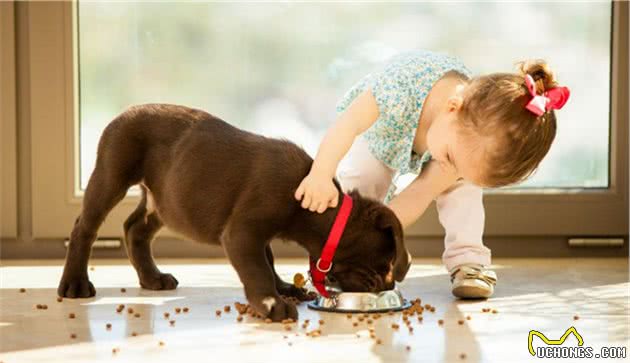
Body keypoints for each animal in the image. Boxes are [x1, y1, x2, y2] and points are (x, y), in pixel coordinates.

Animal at [58, 103, 414, 322]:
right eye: (385, 263)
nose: (386, 286)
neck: (318, 208)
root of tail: (124, 111)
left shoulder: (258, 234)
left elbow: (268, 260)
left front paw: (284, 288)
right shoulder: (243, 232)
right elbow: (257, 268)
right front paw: (272, 303)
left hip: (165, 200)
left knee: (135, 228)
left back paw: (152, 278)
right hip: (111, 174)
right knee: (84, 227)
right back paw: (75, 284)